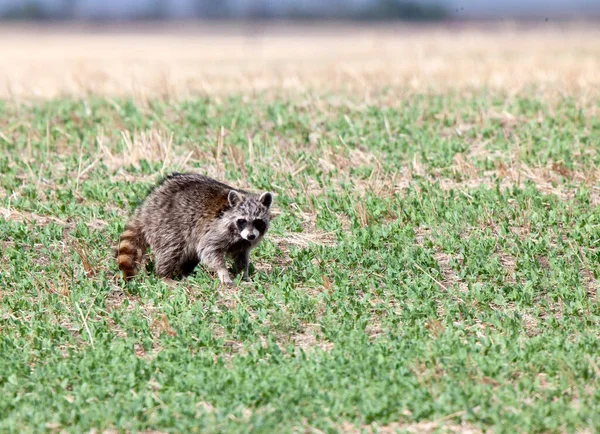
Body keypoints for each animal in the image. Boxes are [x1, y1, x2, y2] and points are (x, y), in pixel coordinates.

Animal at [117, 173, 272, 284]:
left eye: (258, 222)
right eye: (242, 221)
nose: (251, 236)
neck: (238, 234)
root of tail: (147, 206)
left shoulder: (243, 242)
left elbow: (241, 257)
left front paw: (243, 275)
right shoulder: (217, 230)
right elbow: (209, 249)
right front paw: (223, 273)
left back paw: (185, 272)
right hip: (166, 224)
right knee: (171, 249)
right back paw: (164, 274)